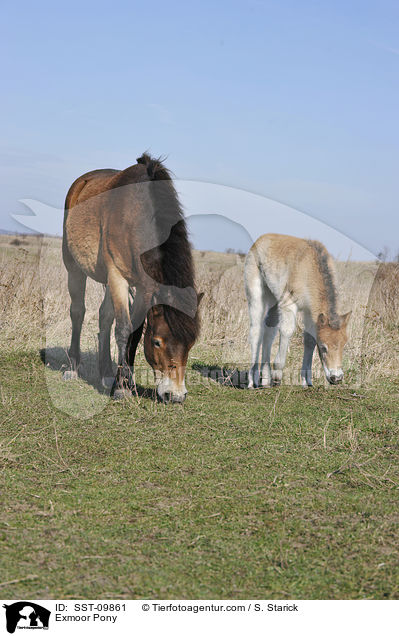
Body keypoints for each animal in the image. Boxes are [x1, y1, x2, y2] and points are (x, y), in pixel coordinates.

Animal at [62, 153, 203, 402]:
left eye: (190, 344)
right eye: (157, 342)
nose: (176, 395)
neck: (138, 218)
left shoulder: (145, 288)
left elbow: (134, 333)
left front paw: (126, 382)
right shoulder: (118, 276)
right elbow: (123, 329)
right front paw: (122, 388)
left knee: (104, 317)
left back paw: (106, 372)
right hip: (74, 268)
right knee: (78, 312)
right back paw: (73, 367)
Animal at [244, 234, 354, 388]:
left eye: (343, 346)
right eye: (323, 347)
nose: (336, 378)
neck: (308, 269)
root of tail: (260, 239)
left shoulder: (310, 312)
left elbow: (309, 339)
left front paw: (306, 381)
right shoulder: (289, 303)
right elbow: (287, 331)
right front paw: (277, 375)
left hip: (274, 299)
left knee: (269, 329)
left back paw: (265, 379)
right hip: (255, 293)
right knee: (256, 330)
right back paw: (252, 380)